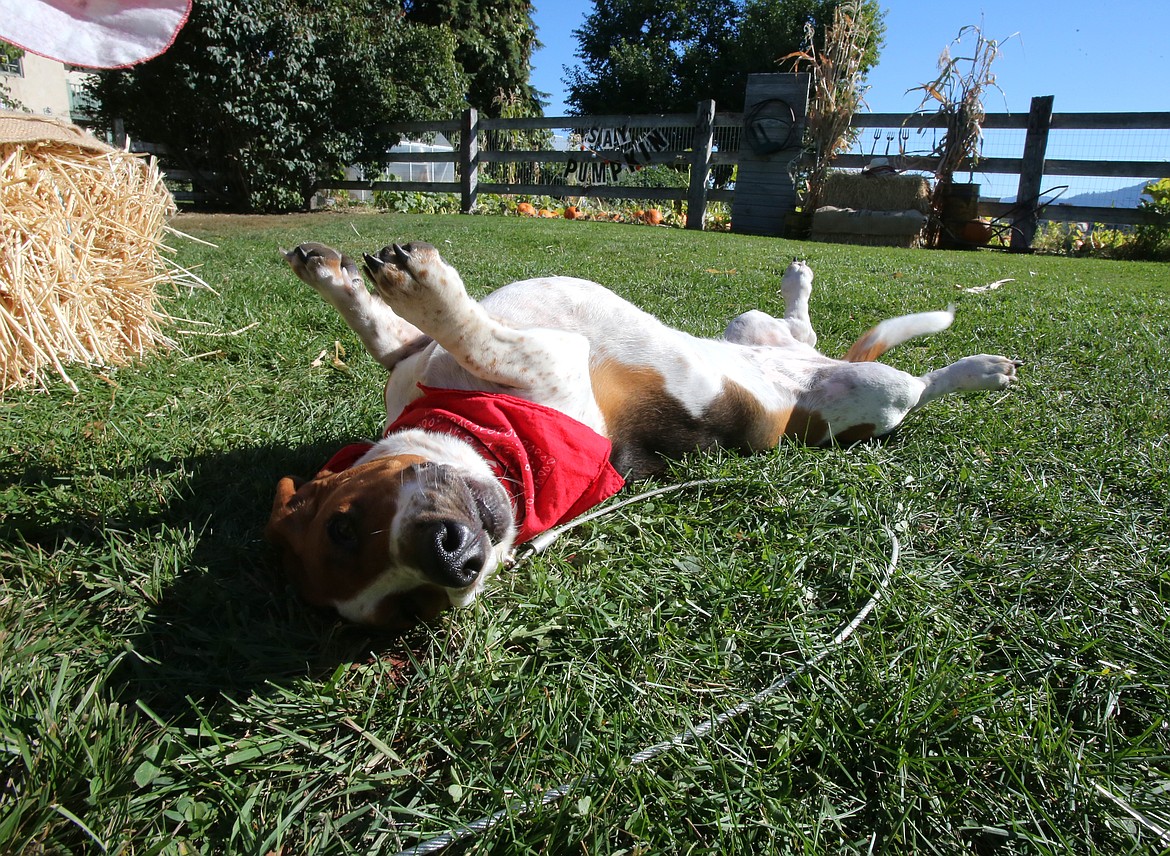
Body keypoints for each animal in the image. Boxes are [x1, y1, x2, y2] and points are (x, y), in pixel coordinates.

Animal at [269, 240, 1020, 626]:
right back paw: (982, 370)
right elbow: (476, 332)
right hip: (870, 394)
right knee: (917, 384)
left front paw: (341, 275)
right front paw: (412, 285)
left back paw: (803, 283)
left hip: (754, 329)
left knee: (801, 331)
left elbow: (389, 331)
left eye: (342, 522)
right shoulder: (544, 358)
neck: (485, 433)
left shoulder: (416, 358)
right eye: (414, 606)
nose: (455, 564)